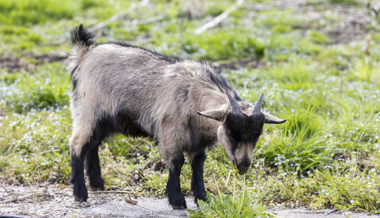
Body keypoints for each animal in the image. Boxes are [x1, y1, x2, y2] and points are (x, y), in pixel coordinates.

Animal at [67, 24, 284, 209]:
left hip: (104, 120)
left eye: (258, 135)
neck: (193, 94)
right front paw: (177, 200)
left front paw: (203, 198)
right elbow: (177, 162)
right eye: (230, 132)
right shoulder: (171, 134)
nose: (244, 165)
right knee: (77, 143)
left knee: (92, 144)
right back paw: (80, 193)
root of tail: (84, 55)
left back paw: (97, 183)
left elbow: (198, 164)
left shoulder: (197, 141)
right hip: (87, 110)